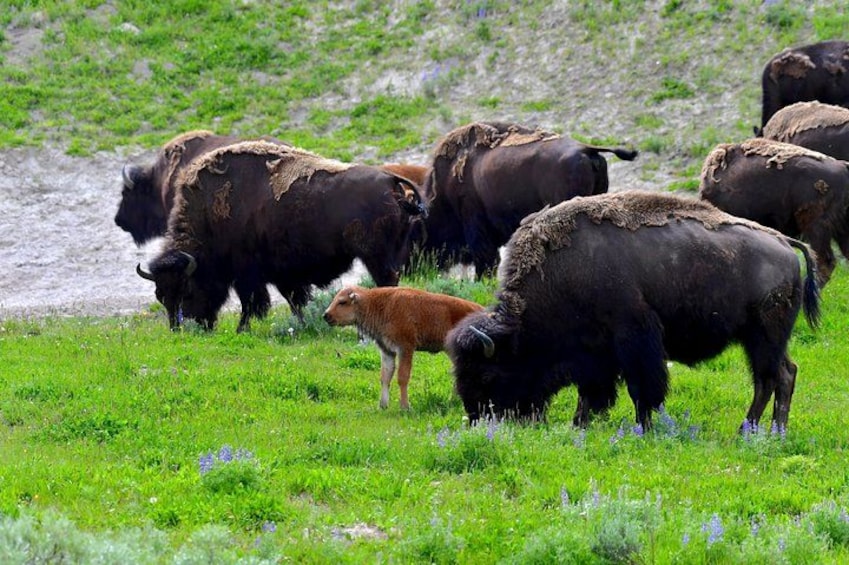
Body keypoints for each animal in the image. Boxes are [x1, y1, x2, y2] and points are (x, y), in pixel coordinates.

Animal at [137, 141, 425, 331]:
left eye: (187, 291)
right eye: (160, 295)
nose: (183, 329)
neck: (210, 217)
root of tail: (390, 181)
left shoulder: (248, 275)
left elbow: (252, 303)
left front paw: (242, 329)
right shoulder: (282, 275)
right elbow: (293, 299)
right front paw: (303, 324)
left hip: (375, 257)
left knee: (386, 282)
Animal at [446, 191, 819, 433]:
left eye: (487, 375)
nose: (478, 419)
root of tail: (785, 243)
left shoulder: (633, 338)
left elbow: (642, 387)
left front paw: (644, 426)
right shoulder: (595, 354)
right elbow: (592, 390)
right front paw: (580, 423)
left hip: (764, 336)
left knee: (771, 378)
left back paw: (756, 430)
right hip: (763, 338)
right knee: (782, 374)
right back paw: (765, 430)